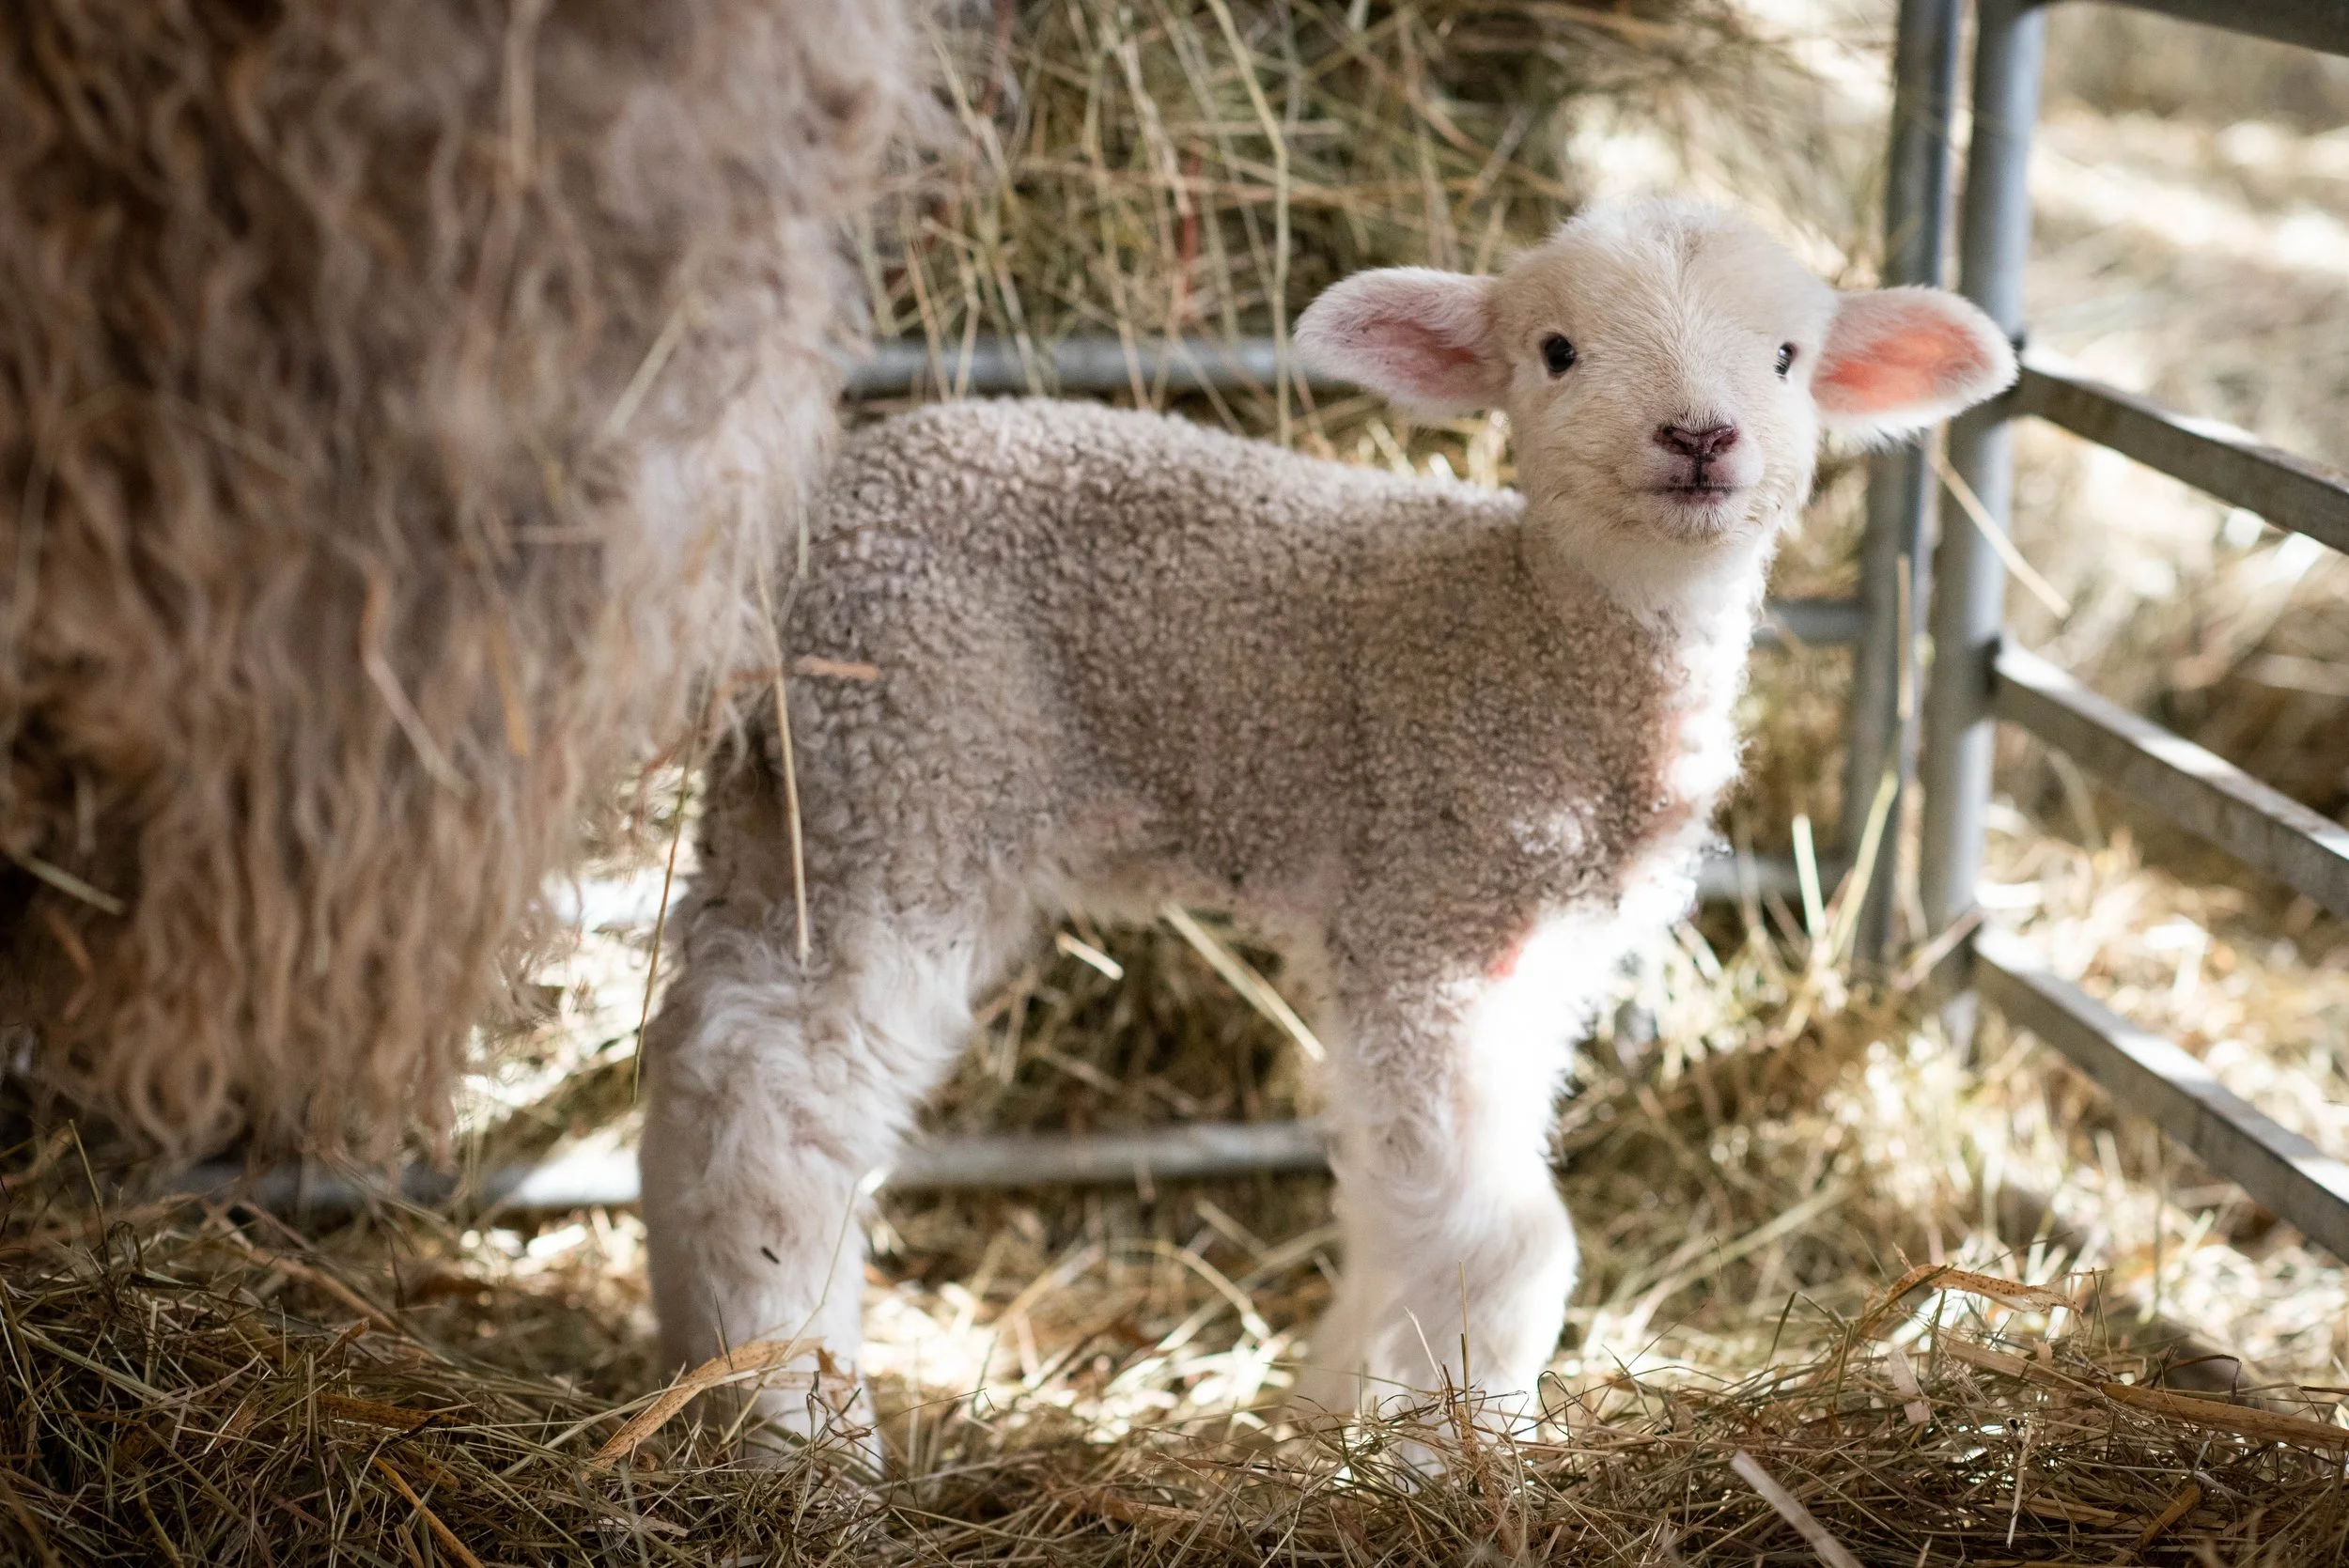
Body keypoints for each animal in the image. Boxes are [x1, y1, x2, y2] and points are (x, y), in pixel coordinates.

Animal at [638, 197, 2015, 1436]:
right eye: (1556, 350)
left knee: (699, 1051)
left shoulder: (1529, 963)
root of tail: (788, 549)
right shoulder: (1426, 915)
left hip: (794, 800)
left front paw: (1332, 1419)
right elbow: (1511, 1245)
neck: (1532, 641)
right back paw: (803, 1435)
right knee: (779, 1115)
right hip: (918, 769)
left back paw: (699, 1369)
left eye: (1787, 355)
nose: (1698, 435)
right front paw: (1468, 1456)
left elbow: (1404, 1207)